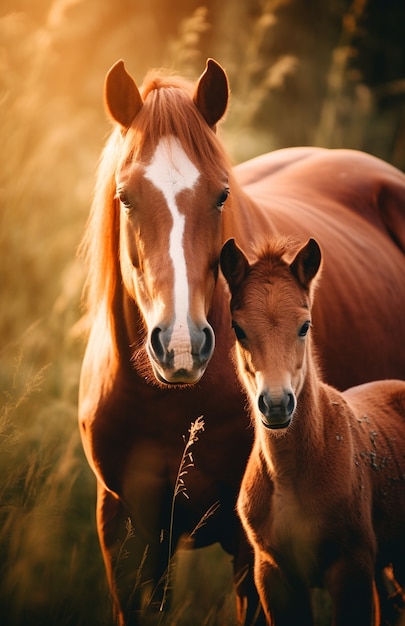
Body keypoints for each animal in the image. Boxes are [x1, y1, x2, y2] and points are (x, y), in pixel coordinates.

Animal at [219, 235, 404, 624]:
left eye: (304, 325)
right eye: (238, 329)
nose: (276, 405)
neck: (291, 476)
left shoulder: (351, 568)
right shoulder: (273, 575)